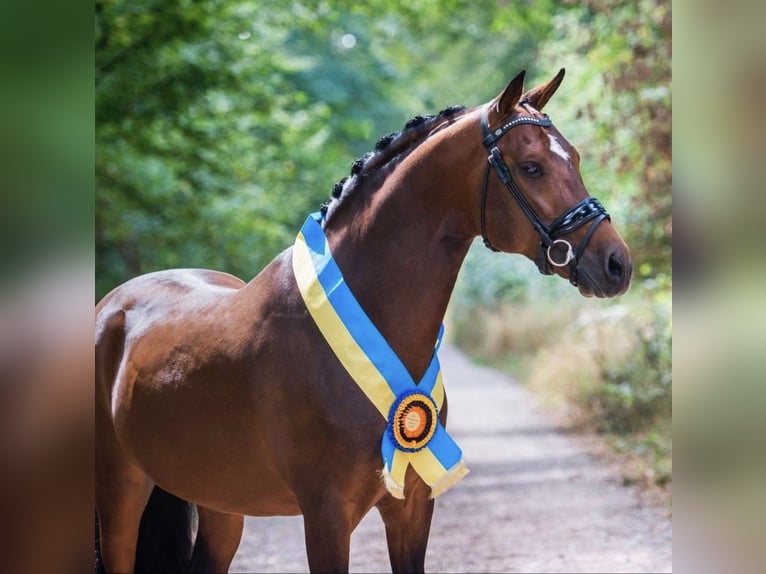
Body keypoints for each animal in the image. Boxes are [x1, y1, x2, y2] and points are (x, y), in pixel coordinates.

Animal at [96, 70, 632, 572]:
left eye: (574, 158)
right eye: (531, 167)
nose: (616, 264)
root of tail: (113, 306)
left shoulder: (413, 508)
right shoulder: (326, 517)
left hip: (220, 503)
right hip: (121, 496)